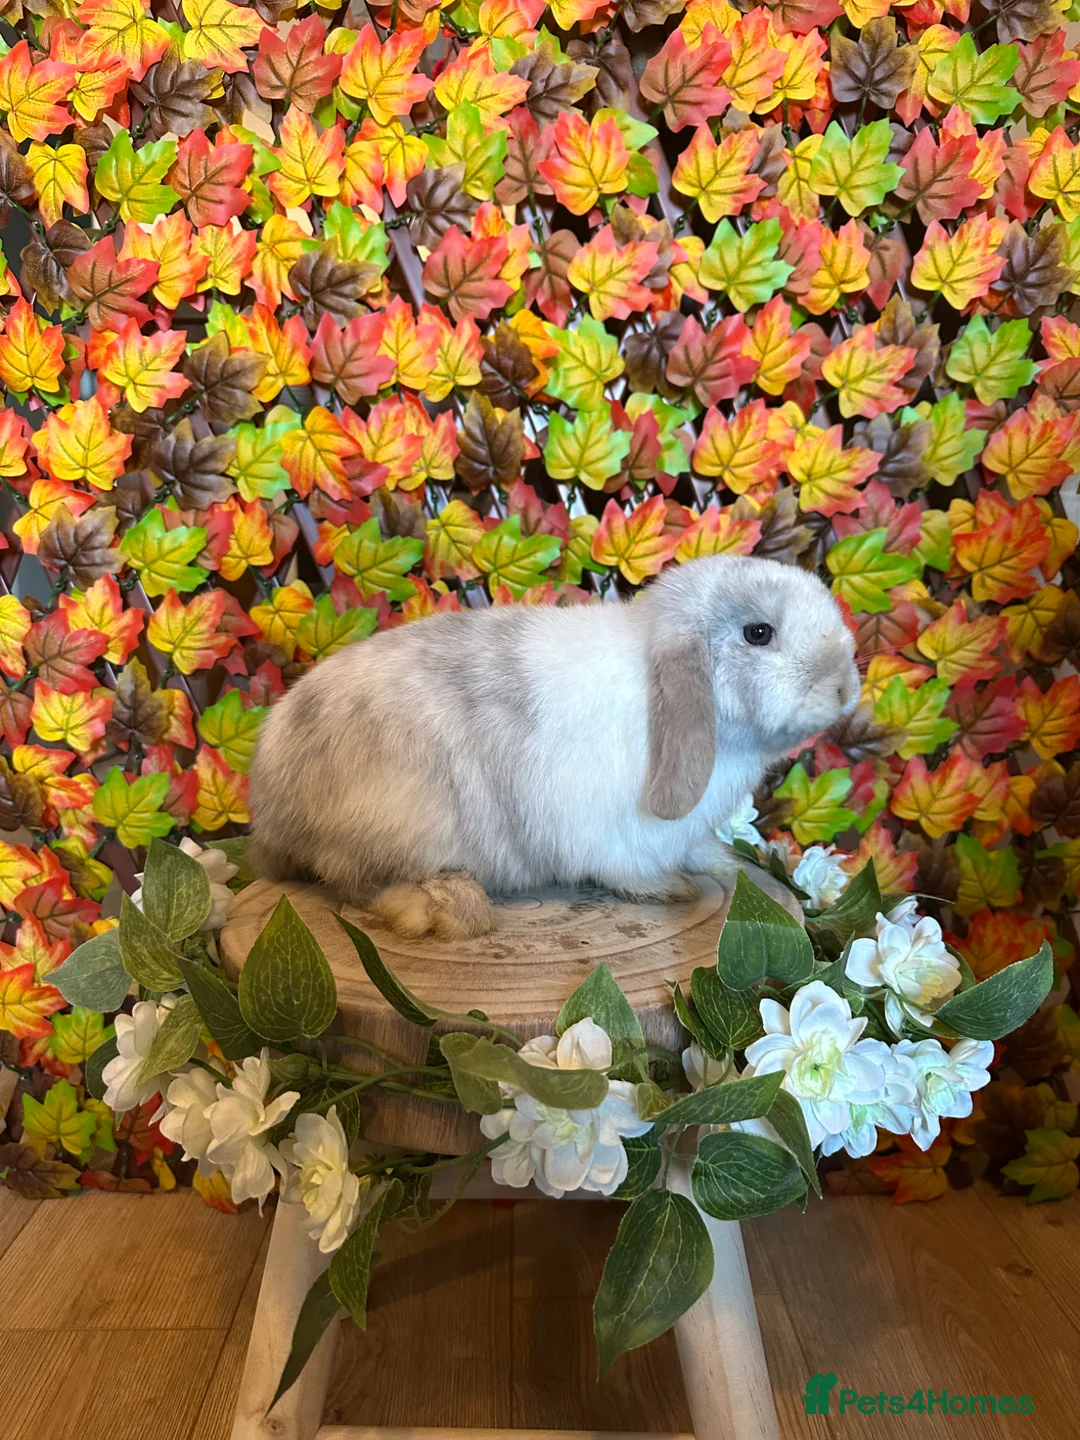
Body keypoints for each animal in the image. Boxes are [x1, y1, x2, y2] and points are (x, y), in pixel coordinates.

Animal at [248, 553, 861, 940]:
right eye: (759, 633)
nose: (845, 689)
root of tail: (270, 803)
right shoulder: (615, 835)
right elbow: (630, 871)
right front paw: (672, 888)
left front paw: (722, 865)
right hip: (399, 819)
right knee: (355, 884)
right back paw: (449, 909)